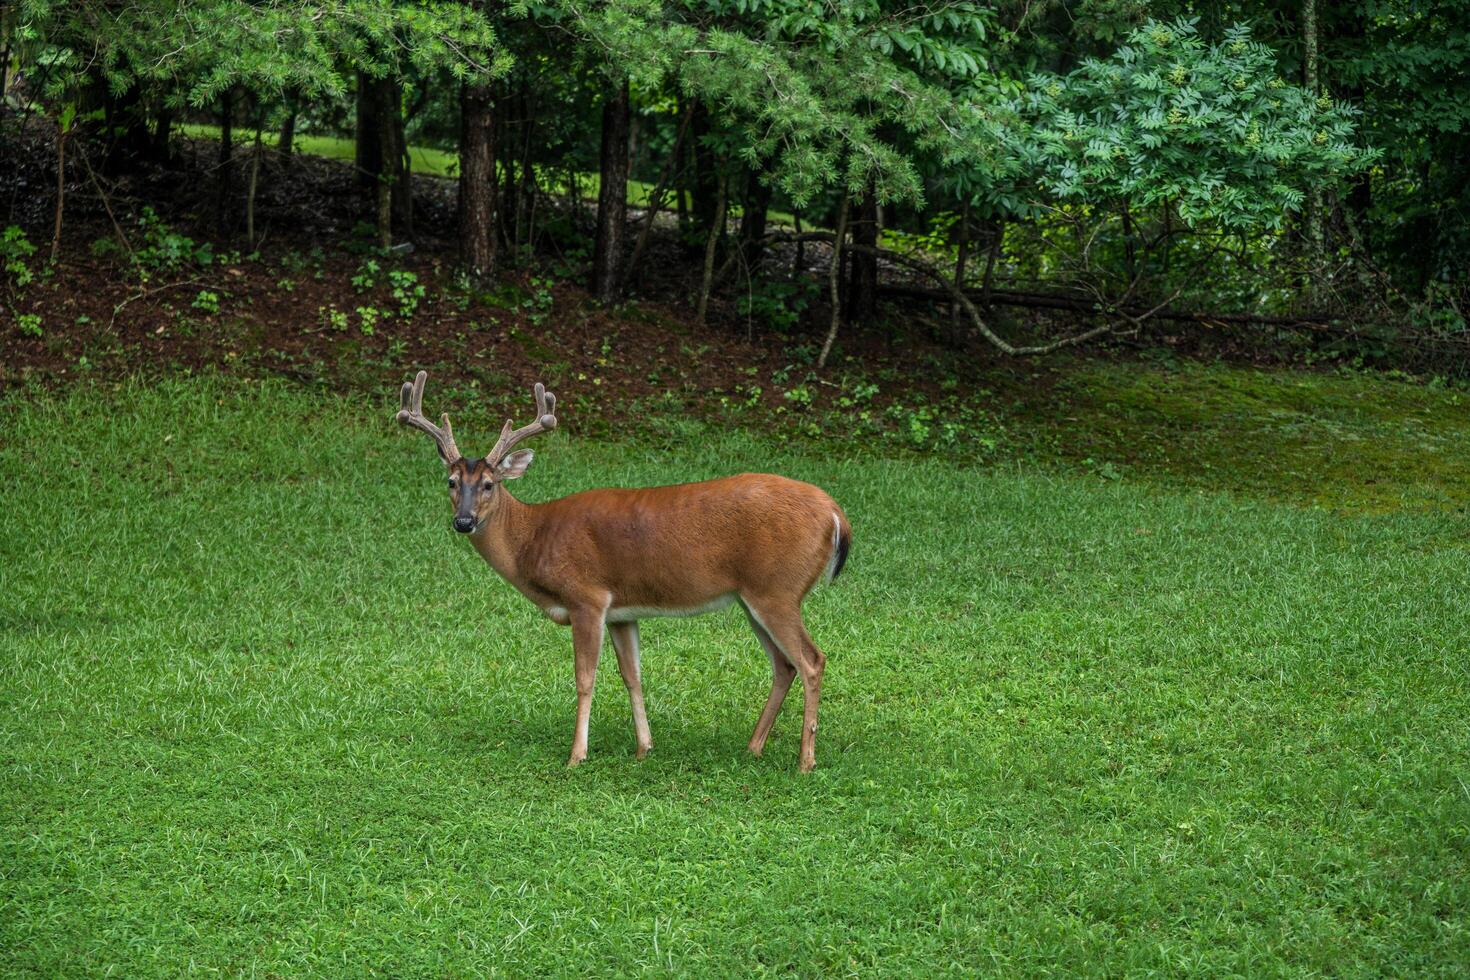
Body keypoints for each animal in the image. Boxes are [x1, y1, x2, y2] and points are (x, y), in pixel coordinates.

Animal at [393, 370, 852, 775]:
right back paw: (754, 747)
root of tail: (836, 514)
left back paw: (805, 761)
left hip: (778, 589)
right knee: (784, 665)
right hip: (751, 597)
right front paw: (644, 747)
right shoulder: (621, 611)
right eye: (451, 481)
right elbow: (632, 675)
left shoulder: (587, 597)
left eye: (489, 484)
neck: (534, 538)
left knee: (811, 660)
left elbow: (585, 677)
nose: (464, 522)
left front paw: (576, 755)